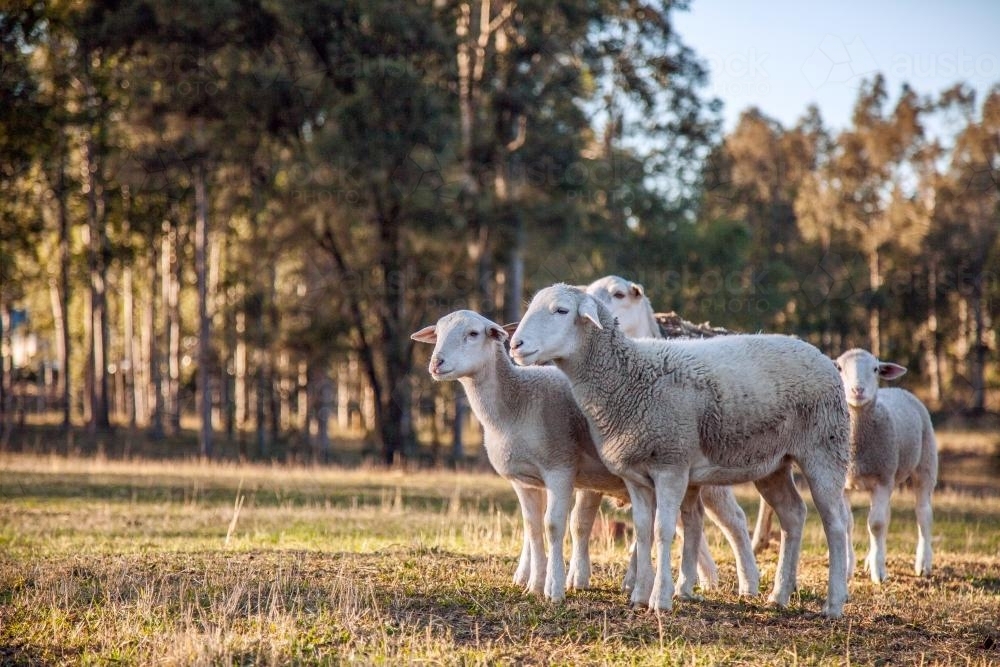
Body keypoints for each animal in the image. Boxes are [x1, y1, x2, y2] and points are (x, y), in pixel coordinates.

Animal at [406, 310, 624, 604]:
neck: (516, 404)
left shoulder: (560, 468)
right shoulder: (524, 480)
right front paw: (534, 584)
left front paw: (553, 589)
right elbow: (533, 527)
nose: (436, 363)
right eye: (437, 334)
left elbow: (553, 526)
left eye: (473, 333)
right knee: (585, 522)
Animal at [836, 350, 936, 584]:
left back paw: (923, 563)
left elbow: (876, 524)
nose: (858, 390)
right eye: (840, 368)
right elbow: (847, 524)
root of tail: (898, 389)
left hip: (925, 465)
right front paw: (847, 568)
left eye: (875, 369)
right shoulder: (843, 485)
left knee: (923, 514)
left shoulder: (882, 480)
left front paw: (879, 572)